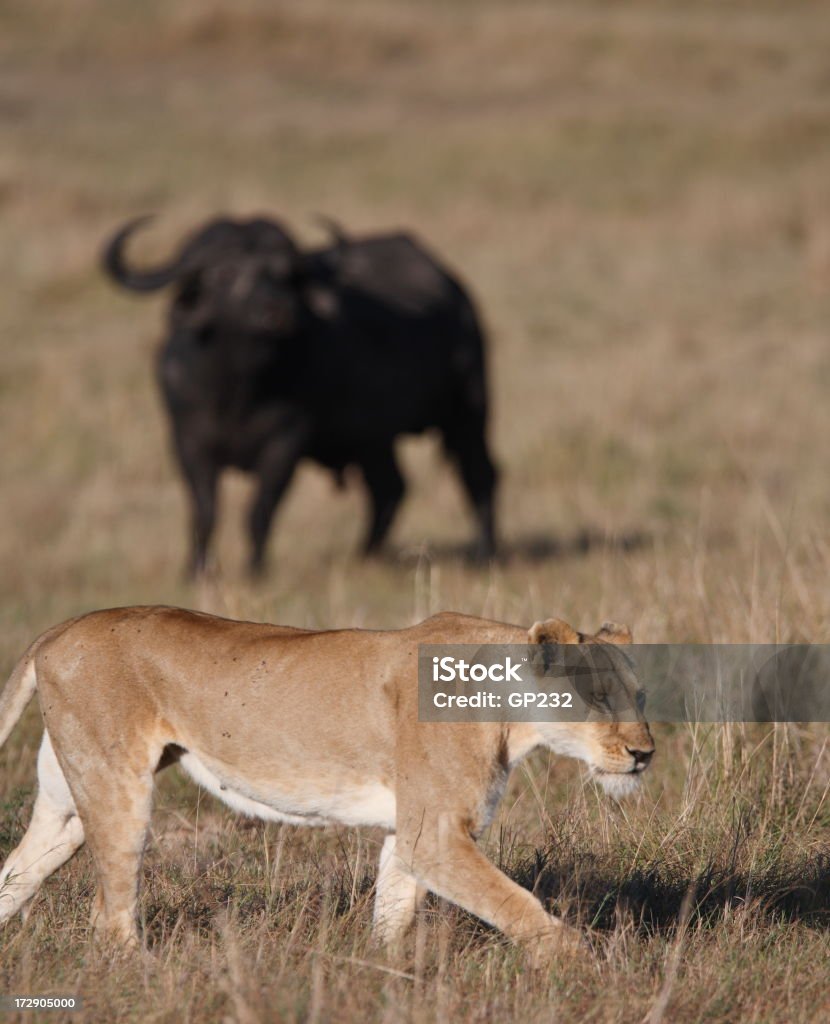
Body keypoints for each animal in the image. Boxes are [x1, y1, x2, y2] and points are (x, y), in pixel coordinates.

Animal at [100, 216, 497, 577]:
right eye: (224, 273)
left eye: (284, 275)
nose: (275, 312)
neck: (240, 390)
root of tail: (454, 290)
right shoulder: (187, 440)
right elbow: (205, 510)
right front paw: (196, 570)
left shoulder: (286, 442)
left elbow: (260, 509)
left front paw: (254, 570)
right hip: (373, 440)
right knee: (389, 487)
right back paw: (365, 555)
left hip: (467, 409)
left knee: (479, 473)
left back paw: (484, 553)